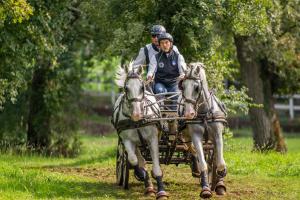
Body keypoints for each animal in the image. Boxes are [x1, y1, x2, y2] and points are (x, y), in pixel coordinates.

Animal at [179, 62, 226, 198]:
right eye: (182, 86)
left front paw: (220, 179)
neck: (204, 113)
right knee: (192, 151)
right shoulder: (196, 137)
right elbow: (203, 164)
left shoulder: (217, 135)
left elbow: (220, 162)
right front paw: (205, 188)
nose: (189, 113)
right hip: (186, 137)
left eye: (196, 87)